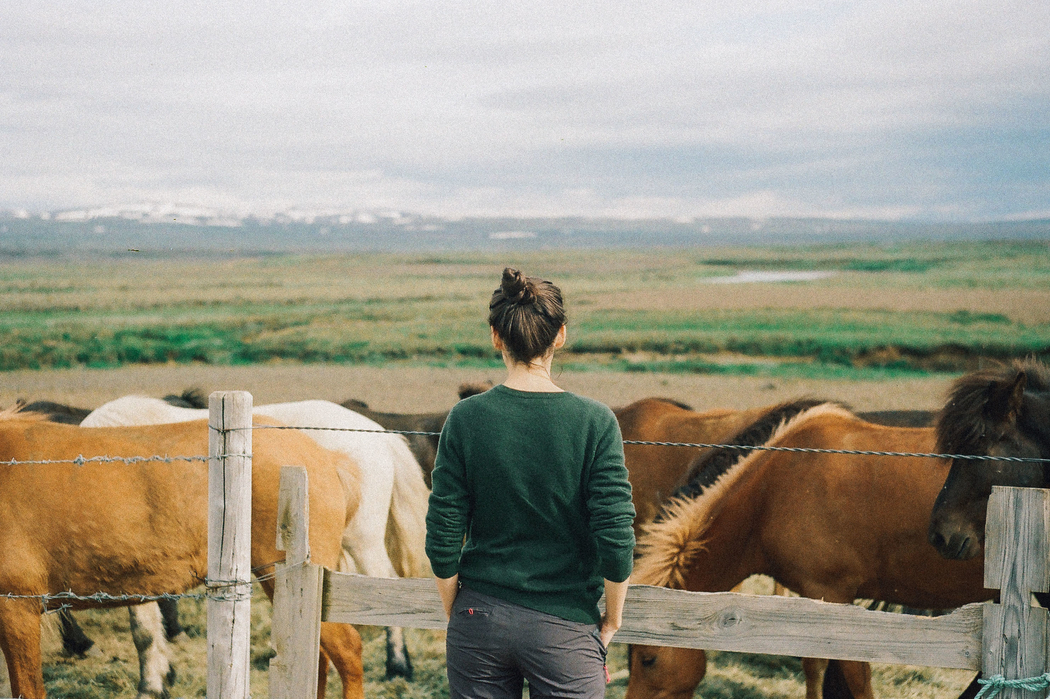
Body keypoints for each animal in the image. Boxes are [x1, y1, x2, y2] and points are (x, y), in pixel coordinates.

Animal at [76, 392, 430, 692]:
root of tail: (378, 434)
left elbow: (144, 629)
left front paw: (150, 682)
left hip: (361, 542)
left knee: (386, 588)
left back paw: (398, 665)